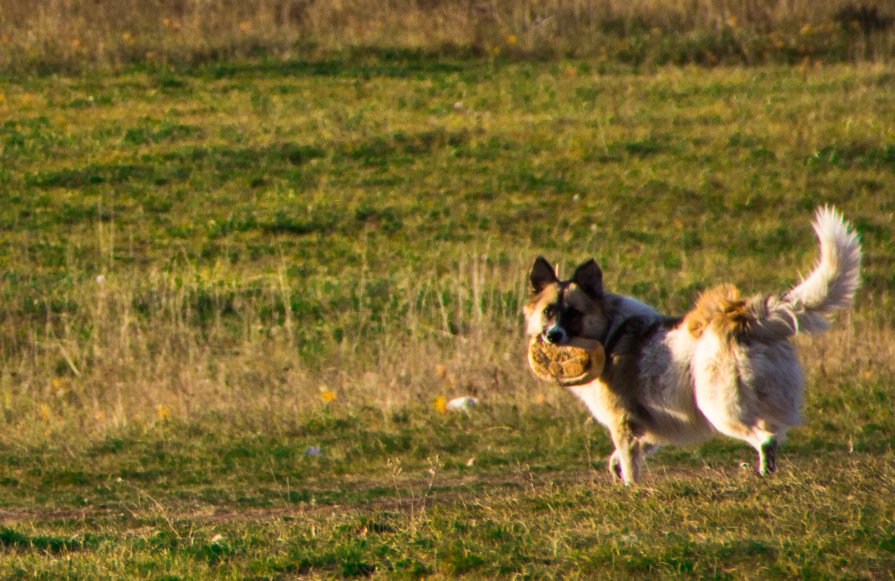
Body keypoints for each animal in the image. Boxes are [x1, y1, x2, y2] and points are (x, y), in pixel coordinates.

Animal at [524, 206, 860, 482]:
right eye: (548, 311)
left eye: (574, 313)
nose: (552, 336)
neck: (609, 332)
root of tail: (744, 314)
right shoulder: (651, 426)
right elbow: (623, 458)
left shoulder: (624, 424)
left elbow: (629, 465)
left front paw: (632, 491)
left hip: (719, 406)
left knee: (766, 438)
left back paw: (763, 472)